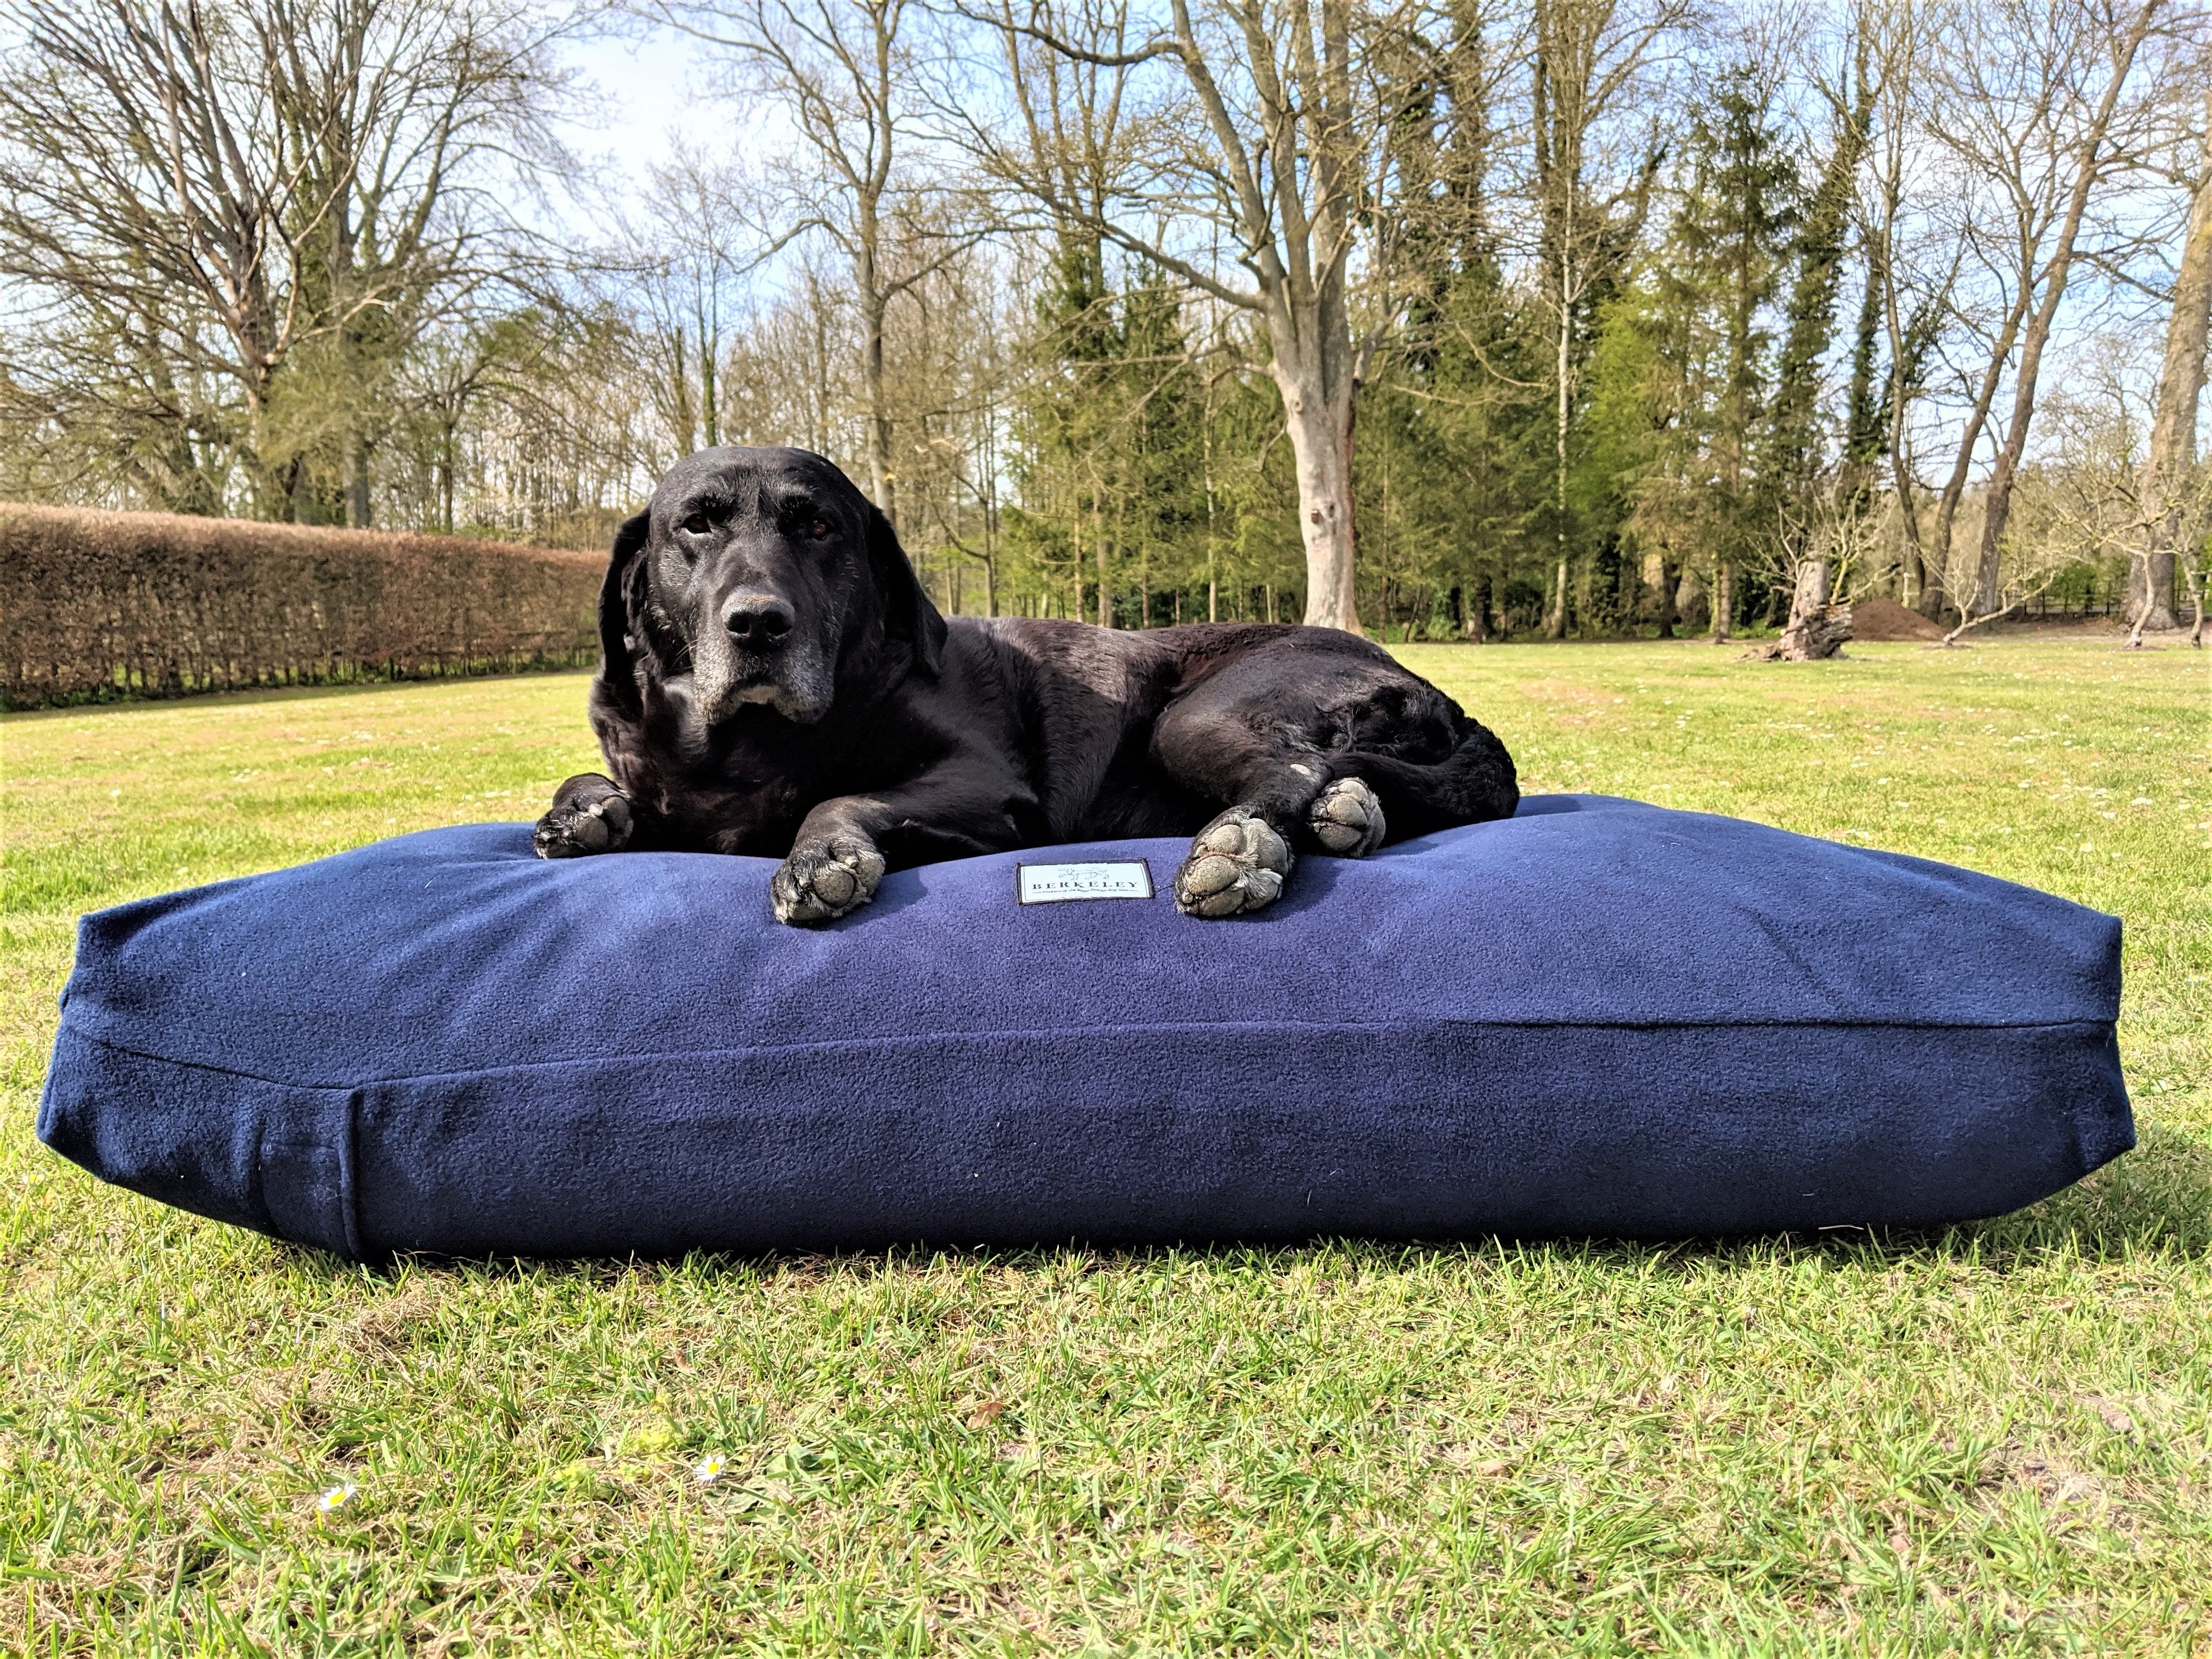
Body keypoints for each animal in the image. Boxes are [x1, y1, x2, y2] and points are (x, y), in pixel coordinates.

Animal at [531, 451, 1522, 924]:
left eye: (817, 527)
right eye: (694, 526)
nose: (757, 623)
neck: (748, 743)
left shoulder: (982, 786)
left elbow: (840, 797)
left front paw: (822, 859)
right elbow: (599, 781)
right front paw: (582, 813)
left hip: (1193, 715)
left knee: (1290, 768)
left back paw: (1243, 845)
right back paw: (1347, 812)